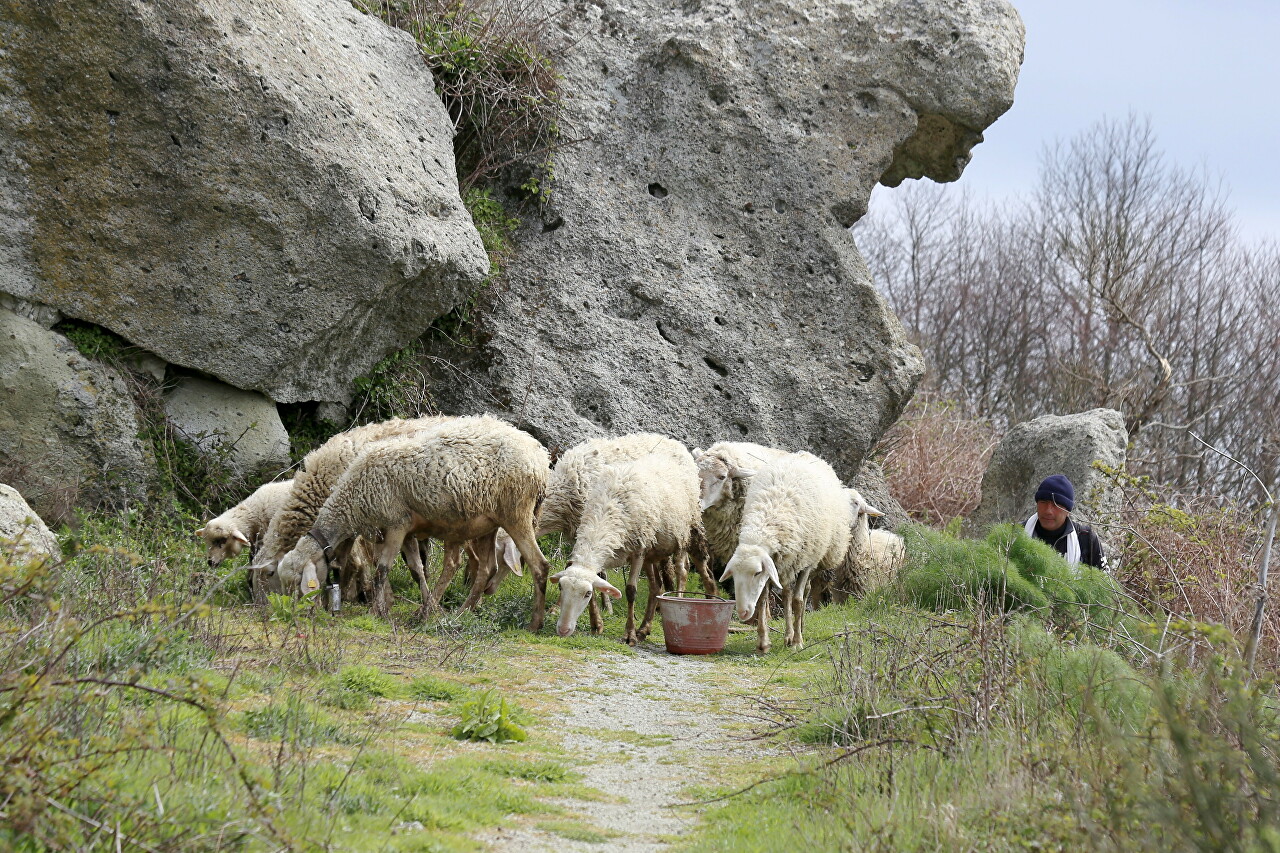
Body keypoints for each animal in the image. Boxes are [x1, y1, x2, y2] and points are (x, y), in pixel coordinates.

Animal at [272, 414, 547, 622]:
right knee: (485, 567)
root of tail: (538, 454)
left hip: (515, 514)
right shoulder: (403, 531)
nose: (293, 615)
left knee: (538, 565)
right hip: (484, 524)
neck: (353, 495)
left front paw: (376, 611)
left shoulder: (395, 524)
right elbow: (416, 569)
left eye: (297, 584)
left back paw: (534, 622)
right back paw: (459, 612)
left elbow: (381, 570)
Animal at [550, 440, 711, 640]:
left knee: (683, 571)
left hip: (684, 533)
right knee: (656, 586)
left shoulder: (638, 551)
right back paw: (645, 628)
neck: (606, 513)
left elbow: (631, 590)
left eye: (586, 593)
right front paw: (597, 624)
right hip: (653, 549)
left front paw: (629, 634)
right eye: (560, 588)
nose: (563, 630)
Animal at [721, 450, 849, 650]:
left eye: (756, 572)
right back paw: (789, 634)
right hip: (787, 563)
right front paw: (763, 642)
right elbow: (764, 599)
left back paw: (799, 629)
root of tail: (804, 453)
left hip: (811, 559)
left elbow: (798, 600)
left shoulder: (805, 562)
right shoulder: (774, 564)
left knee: (804, 592)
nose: (742, 613)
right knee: (787, 594)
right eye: (733, 575)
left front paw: (798, 642)